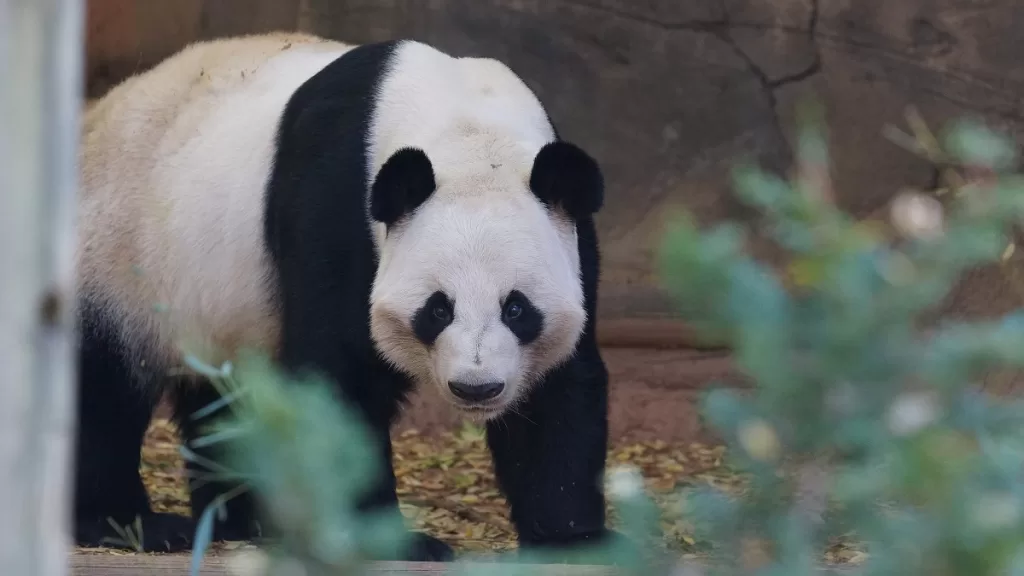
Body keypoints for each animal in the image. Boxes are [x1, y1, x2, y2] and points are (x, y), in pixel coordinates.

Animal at [75, 32, 611, 561]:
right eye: (438, 309)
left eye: (516, 308)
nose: (476, 388)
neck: (468, 133)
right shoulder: (335, 207)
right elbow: (339, 376)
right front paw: (394, 542)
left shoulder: (571, 237)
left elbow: (559, 388)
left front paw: (572, 539)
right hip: (116, 255)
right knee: (102, 392)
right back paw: (132, 524)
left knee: (223, 400)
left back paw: (244, 520)